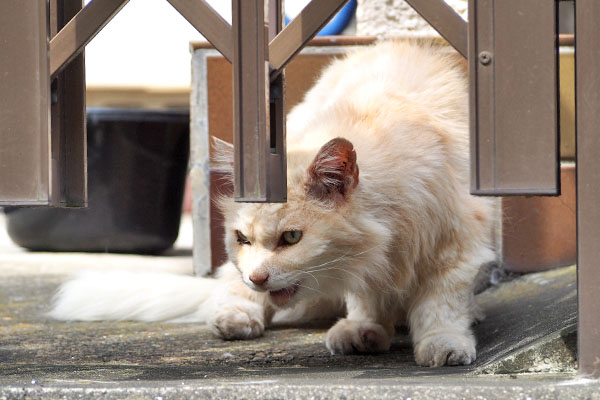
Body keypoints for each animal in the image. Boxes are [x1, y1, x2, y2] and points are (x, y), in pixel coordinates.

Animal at [48, 39, 496, 366]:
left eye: (292, 238)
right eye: (243, 239)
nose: (259, 277)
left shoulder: (457, 246)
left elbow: (440, 305)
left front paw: (443, 343)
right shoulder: (369, 265)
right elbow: (367, 296)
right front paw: (363, 330)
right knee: (229, 288)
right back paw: (237, 318)